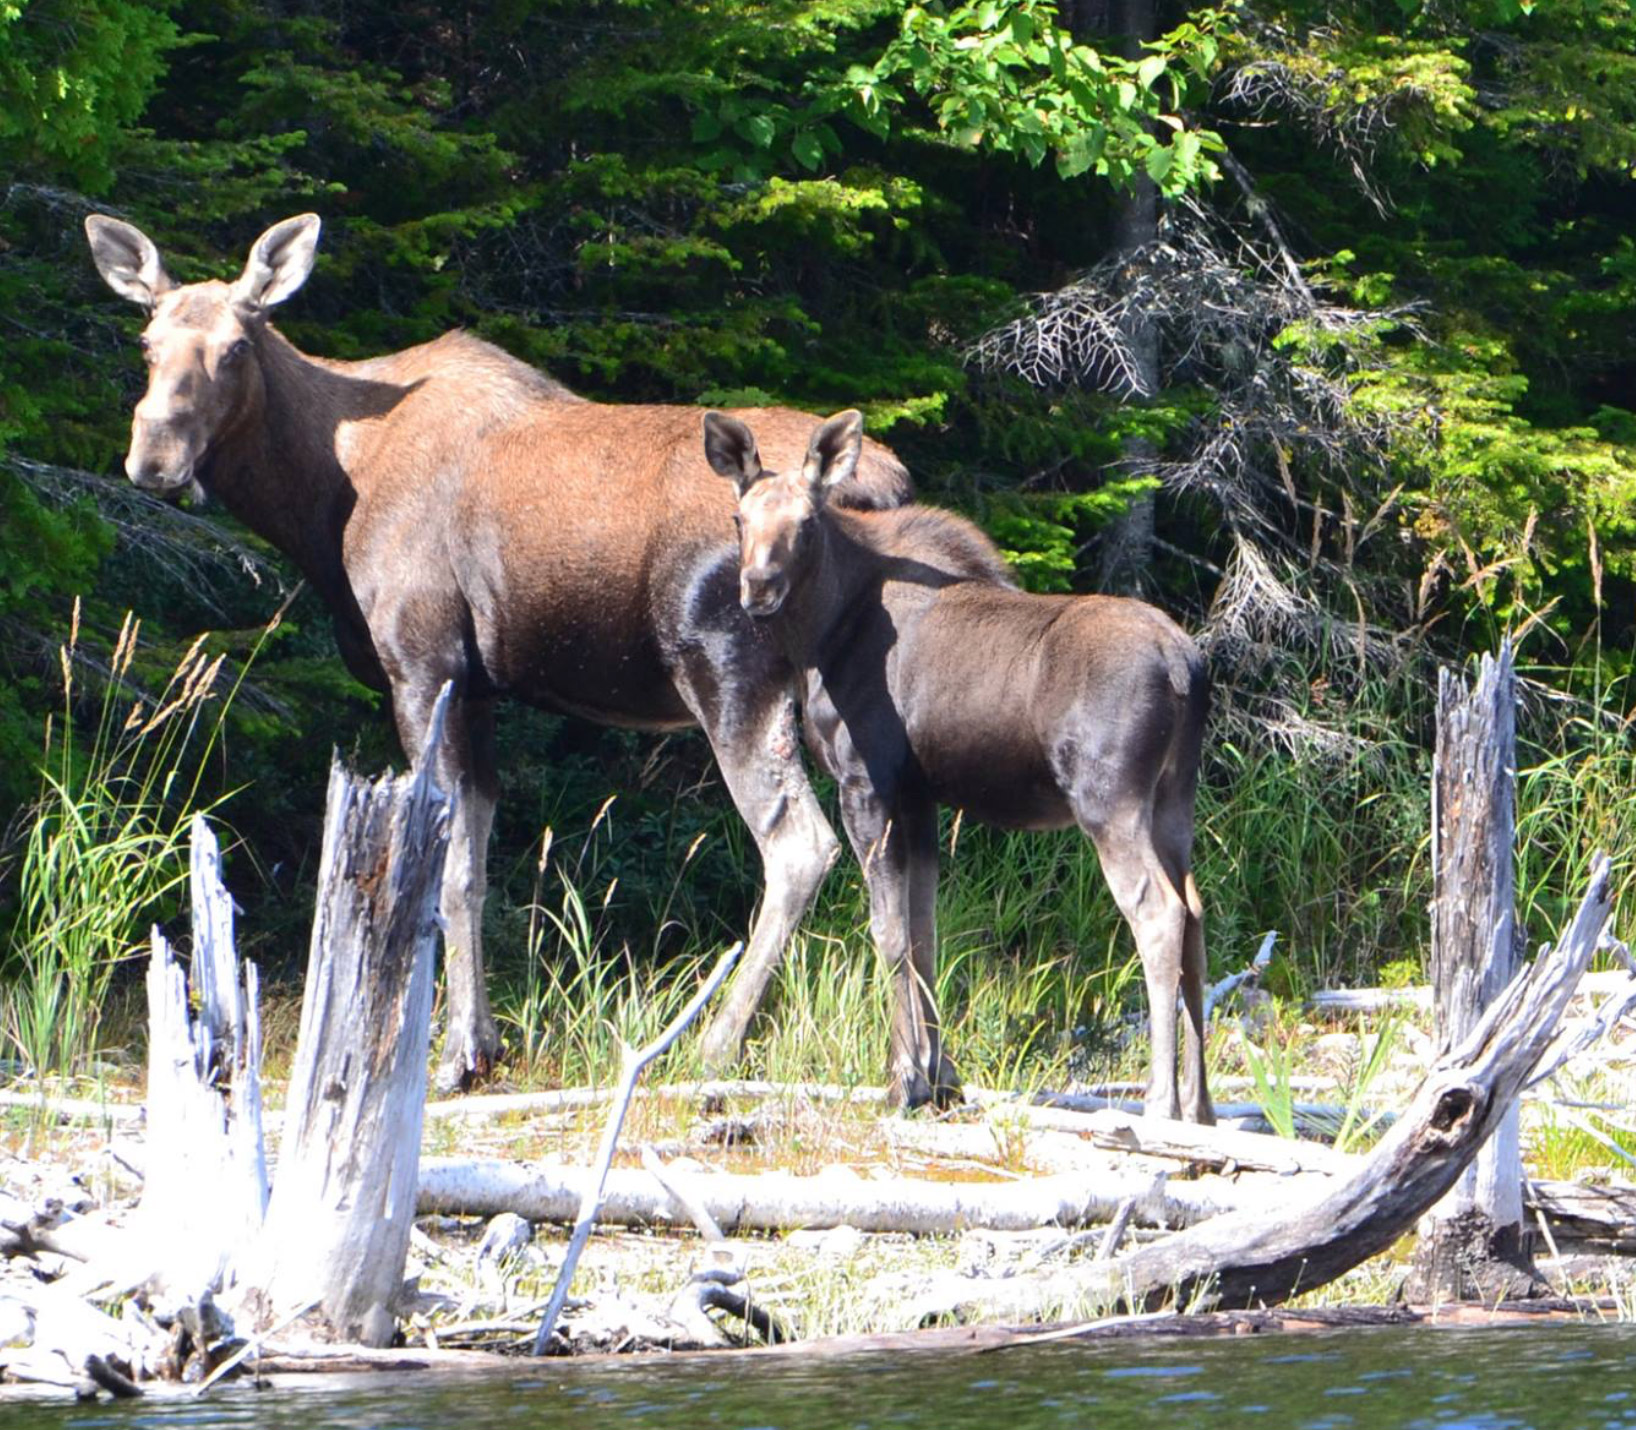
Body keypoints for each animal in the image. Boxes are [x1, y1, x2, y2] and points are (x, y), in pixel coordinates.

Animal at [86, 211, 909, 1086]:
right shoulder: (476, 687)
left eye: (238, 346)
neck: (322, 500)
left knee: (801, 847)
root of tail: (883, 484)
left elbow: (444, 873)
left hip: (727, 669)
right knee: (888, 844)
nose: (154, 460)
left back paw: (715, 1043)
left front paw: (453, 1056)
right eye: (147, 342)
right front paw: (480, 1040)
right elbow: (475, 868)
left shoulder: (421, 663)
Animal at [703, 407, 1217, 1119]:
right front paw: (939, 1078)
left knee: (1158, 912)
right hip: (1174, 796)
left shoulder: (869, 781)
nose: (758, 589)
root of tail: (1185, 667)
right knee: (1195, 911)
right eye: (739, 518)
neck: (822, 638)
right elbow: (924, 933)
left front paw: (903, 1083)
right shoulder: (920, 796)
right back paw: (1202, 1110)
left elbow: (887, 931)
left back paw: (1160, 1103)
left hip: (1110, 798)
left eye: (805, 521)